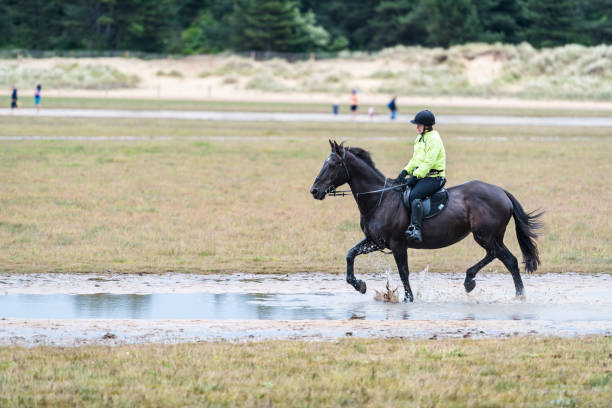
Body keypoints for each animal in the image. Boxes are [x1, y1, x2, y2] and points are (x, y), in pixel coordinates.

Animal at [308, 141, 544, 302]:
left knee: (500, 256)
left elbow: (403, 272)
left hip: (486, 236)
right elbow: (350, 255)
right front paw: (359, 285)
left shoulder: (397, 245)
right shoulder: (375, 241)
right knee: (508, 260)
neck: (380, 199)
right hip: (491, 237)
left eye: (334, 164)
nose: (315, 191)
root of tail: (501, 192)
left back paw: (472, 282)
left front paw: (408, 298)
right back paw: (515, 294)